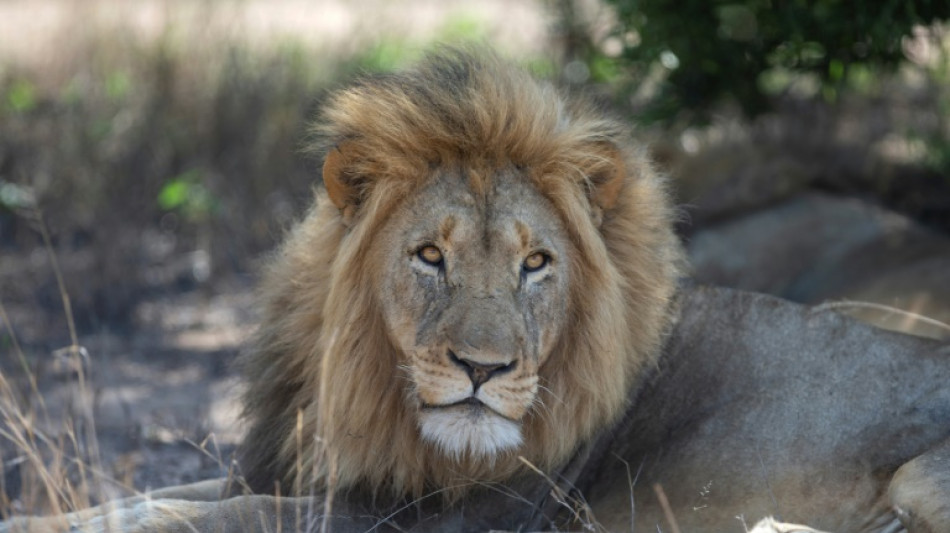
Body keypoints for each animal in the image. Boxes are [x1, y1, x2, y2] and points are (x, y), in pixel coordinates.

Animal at [1, 50, 950, 532]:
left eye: (538, 264)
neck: (362, 389)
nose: (483, 370)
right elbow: (153, 499)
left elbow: (222, 516)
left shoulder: (437, 521)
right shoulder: (285, 465)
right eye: (430, 256)